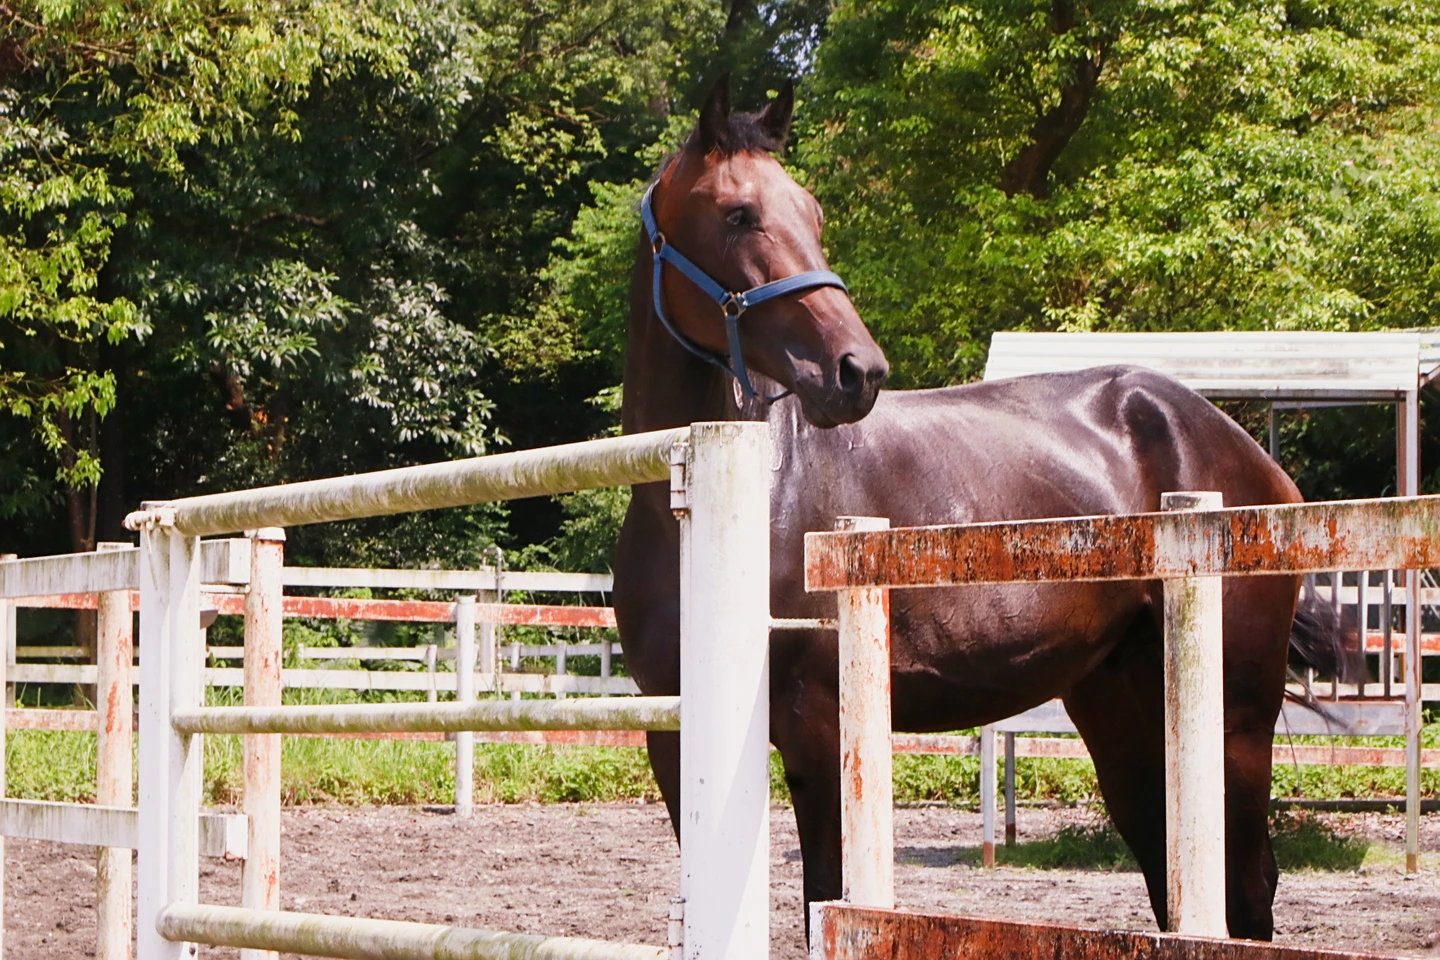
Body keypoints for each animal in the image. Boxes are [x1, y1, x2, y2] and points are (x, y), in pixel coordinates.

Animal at [611, 75, 1350, 941]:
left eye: (814, 216)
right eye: (738, 214)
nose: (855, 371)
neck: (714, 504)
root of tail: (1247, 454)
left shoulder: (817, 724)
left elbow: (826, 900)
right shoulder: (672, 737)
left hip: (1234, 717)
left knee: (1248, 887)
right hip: (1123, 706)